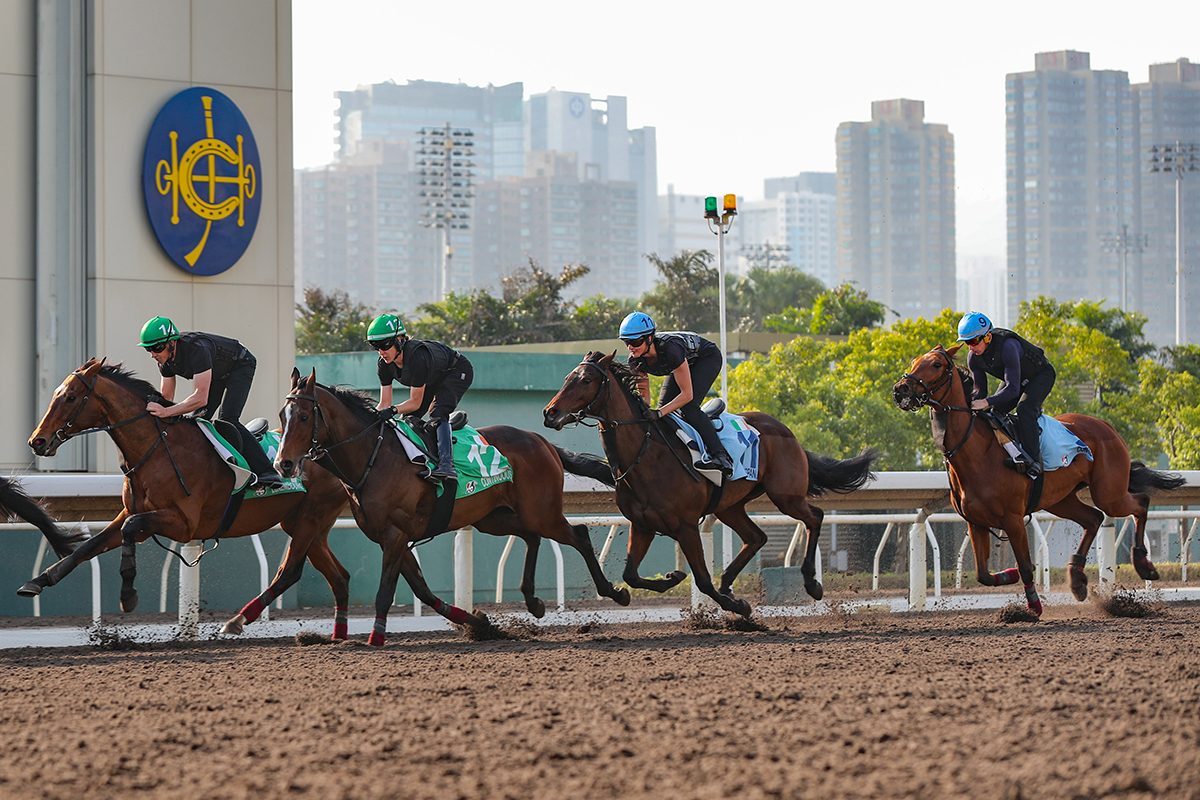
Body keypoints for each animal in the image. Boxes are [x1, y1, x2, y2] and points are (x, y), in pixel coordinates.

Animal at [24, 359, 350, 642]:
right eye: (57, 394)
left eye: (70, 397)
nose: (37, 441)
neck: (157, 448)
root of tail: (324, 450)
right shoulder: (131, 512)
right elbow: (89, 546)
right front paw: (39, 581)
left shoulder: (184, 524)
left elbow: (130, 528)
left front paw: (128, 595)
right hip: (304, 523)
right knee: (339, 576)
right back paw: (339, 635)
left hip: (311, 516)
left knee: (290, 571)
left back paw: (237, 621)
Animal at [272, 367, 628, 647]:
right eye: (281, 416)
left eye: (304, 416)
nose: (283, 464)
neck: (374, 457)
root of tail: (542, 442)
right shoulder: (392, 536)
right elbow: (422, 590)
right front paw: (478, 623)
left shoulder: (395, 534)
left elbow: (386, 591)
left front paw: (375, 638)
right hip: (493, 518)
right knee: (531, 536)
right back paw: (533, 600)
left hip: (542, 513)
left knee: (578, 534)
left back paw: (616, 593)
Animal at [542, 352, 873, 618]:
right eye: (567, 378)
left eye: (586, 380)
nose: (549, 413)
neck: (645, 456)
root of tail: (787, 432)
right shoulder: (643, 524)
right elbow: (631, 574)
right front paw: (668, 579)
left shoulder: (686, 526)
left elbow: (701, 579)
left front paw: (739, 606)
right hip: (730, 506)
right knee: (757, 537)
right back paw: (727, 582)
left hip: (785, 495)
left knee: (814, 517)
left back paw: (811, 583)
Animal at [892, 340, 1180, 618]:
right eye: (914, 361)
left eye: (936, 364)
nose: (900, 389)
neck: (977, 450)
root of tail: (1106, 426)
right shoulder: (976, 522)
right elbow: (984, 574)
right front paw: (1009, 575)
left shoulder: (1013, 519)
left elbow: (1026, 567)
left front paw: (1032, 608)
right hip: (1060, 499)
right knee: (1094, 518)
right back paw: (1077, 579)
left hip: (1109, 493)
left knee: (1140, 502)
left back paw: (1144, 564)